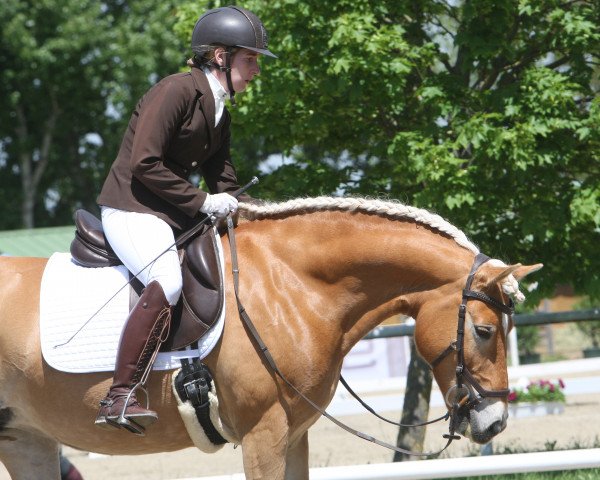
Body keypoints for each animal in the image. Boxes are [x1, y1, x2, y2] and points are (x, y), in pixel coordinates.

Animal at [0, 197, 544, 478]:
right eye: (484, 330)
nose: (495, 423)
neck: (293, 285)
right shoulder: (264, 434)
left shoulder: (294, 435)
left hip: (25, 438)